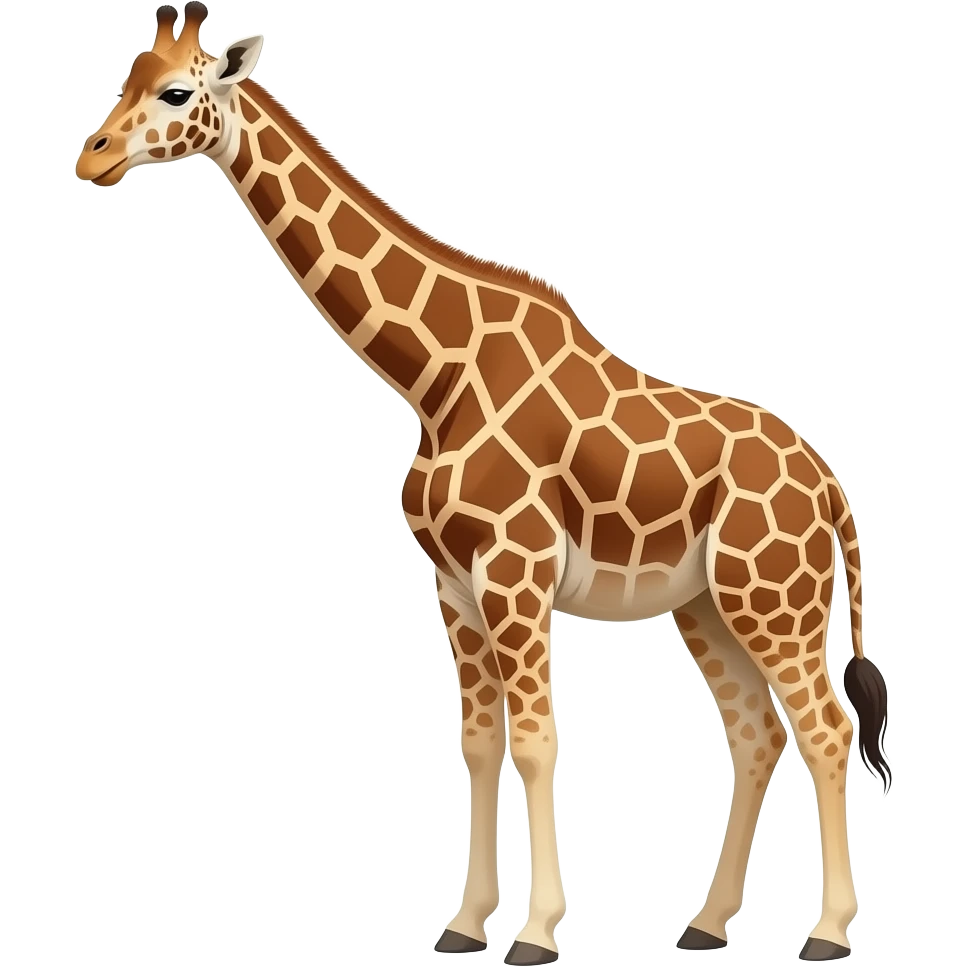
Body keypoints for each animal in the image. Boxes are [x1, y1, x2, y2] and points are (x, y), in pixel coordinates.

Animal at [74, 5, 893, 963]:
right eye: (128, 76)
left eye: (175, 91)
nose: (91, 157)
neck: (435, 380)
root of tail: (830, 484)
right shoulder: (454, 587)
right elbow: (476, 742)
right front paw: (466, 923)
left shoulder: (515, 573)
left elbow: (535, 742)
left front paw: (535, 931)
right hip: (706, 604)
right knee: (757, 733)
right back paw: (703, 921)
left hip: (773, 598)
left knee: (825, 728)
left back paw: (827, 932)